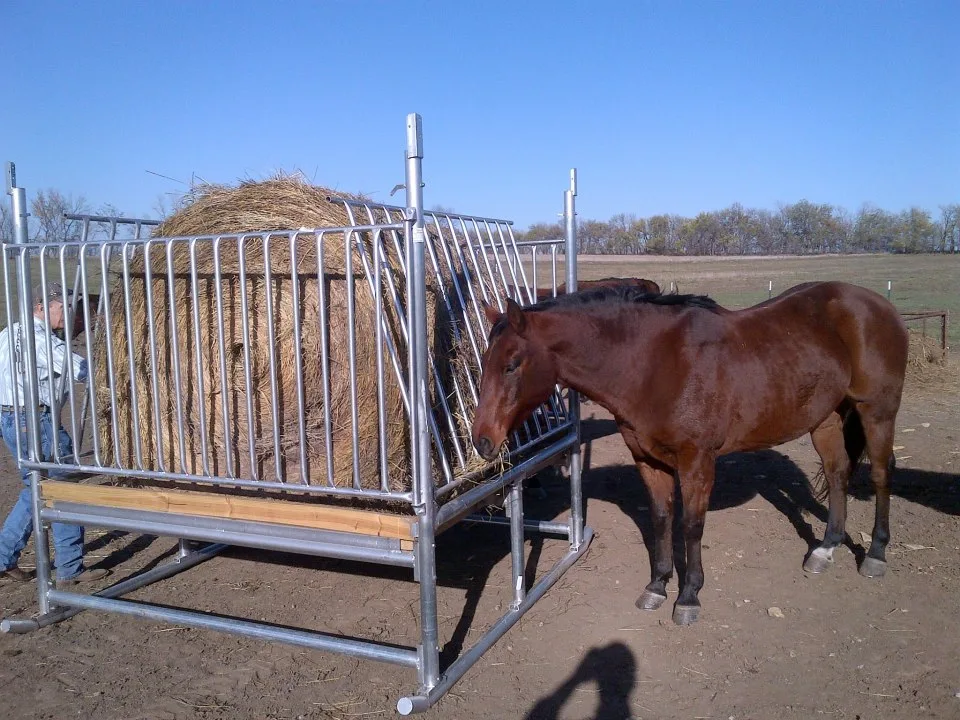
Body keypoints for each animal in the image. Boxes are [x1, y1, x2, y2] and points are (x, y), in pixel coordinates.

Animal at [472, 282, 908, 624]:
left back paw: (876, 554)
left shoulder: (697, 461)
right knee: (837, 475)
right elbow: (662, 519)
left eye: (512, 364)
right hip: (826, 419)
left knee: (881, 474)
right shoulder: (648, 460)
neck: (652, 364)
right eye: (485, 362)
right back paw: (826, 548)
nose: (482, 441)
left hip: (877, 412)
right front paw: (657, 585)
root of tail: (879, 305)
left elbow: (691, 526)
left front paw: (688, 597)